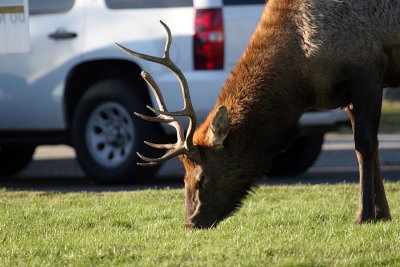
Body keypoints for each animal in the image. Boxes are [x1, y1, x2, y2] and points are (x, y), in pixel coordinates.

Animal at [115, 0, 396, 229]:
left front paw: (364, 215)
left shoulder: (367, 68)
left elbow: (364, 145)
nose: (189, 222)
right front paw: (383, 214)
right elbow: (372, 147)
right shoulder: (348, 93)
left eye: (202, 179)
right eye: (183, 178)